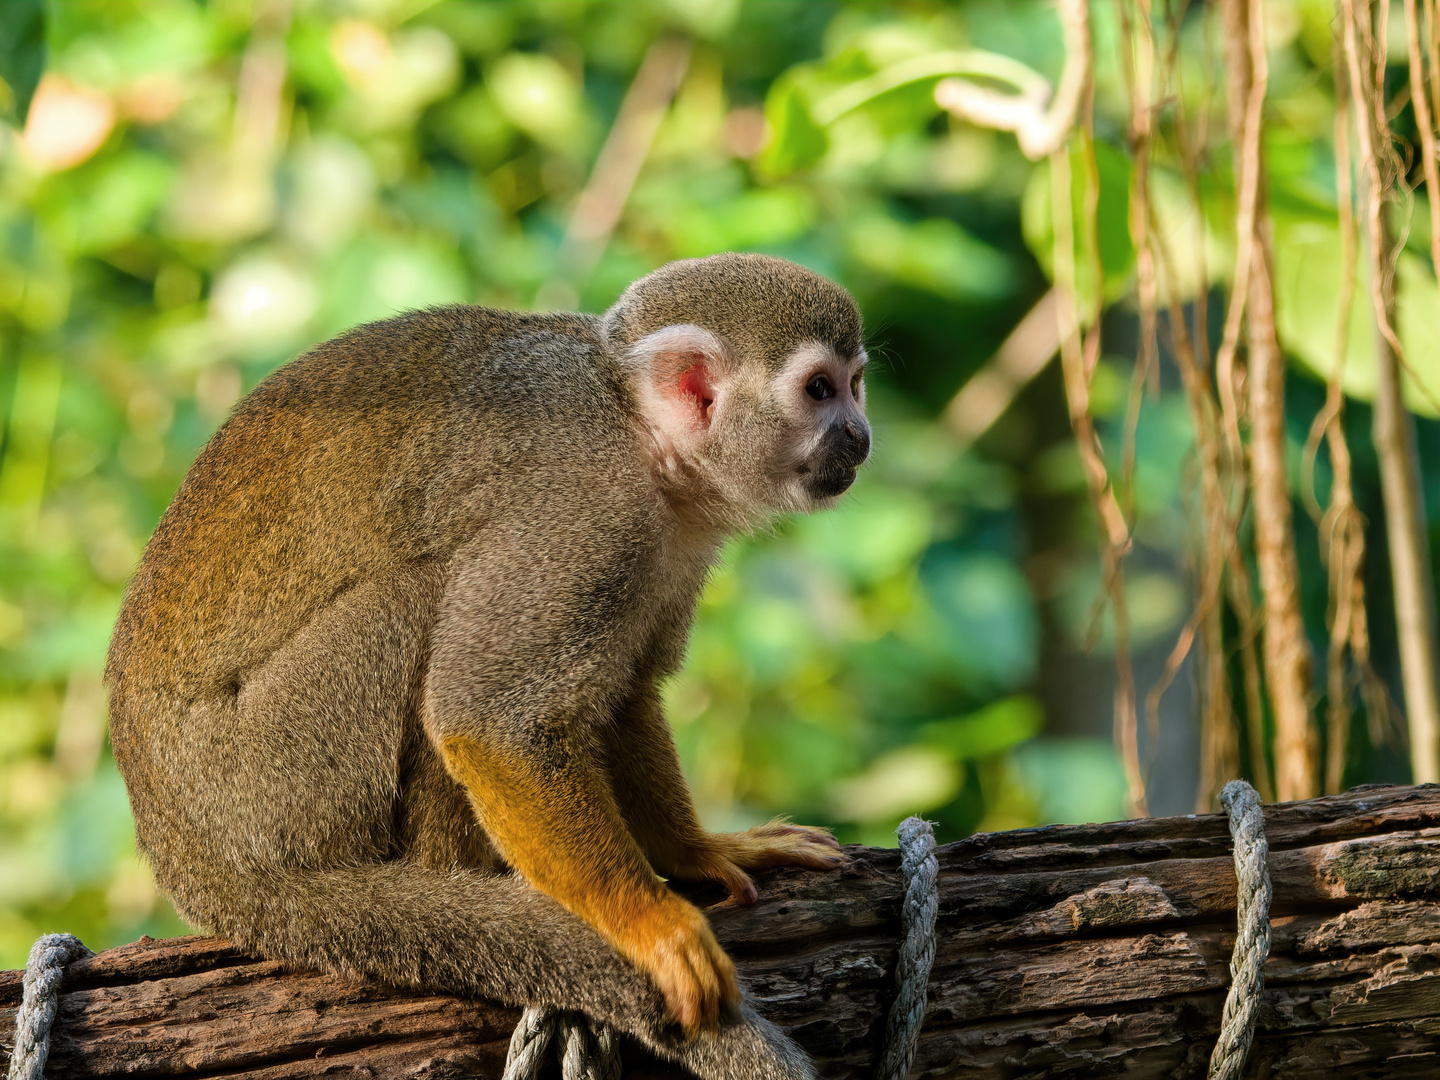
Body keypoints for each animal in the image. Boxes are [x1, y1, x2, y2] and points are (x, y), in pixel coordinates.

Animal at [106, 256, 869, 1080]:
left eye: (856, 384)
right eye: (819, 389)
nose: (861, 435)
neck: (638, 433)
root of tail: (185, 852)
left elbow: (625, 693)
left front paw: (695, 851)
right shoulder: (577, 507)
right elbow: (490, 719)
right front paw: (647, 923)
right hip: (262, 777)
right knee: (419, 594)